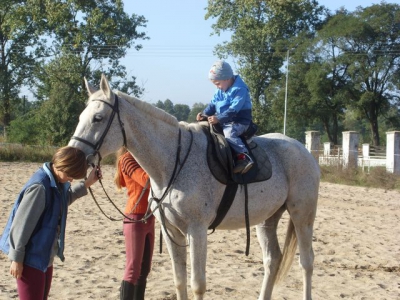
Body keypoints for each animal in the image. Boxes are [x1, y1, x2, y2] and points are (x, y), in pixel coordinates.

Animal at [68, 74, 318, 300]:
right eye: (81, 117)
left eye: (98, 118)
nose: (73, 156)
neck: (172, 162)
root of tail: (303, 151)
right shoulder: (171, 231)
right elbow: (179, 281)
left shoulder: (196, 230)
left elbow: (197, 284)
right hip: (267, 219)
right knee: (272, 259)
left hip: (302, 216)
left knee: (306, 262)